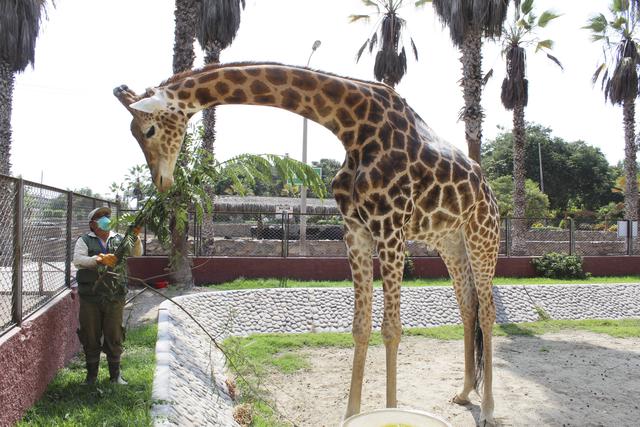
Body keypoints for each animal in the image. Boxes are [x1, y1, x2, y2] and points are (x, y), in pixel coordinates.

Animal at [117, 61, 502, 426]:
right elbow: (360, 327)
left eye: (149, 130)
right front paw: (350, 415)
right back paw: (464, 393)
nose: (162, 181)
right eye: (133, 134)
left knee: (487, 311)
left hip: (483, 236)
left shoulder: (390, 227)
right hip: (450, 242)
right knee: (468, 306)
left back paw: (487, 410)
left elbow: (392, 329)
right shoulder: (356, 232)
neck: (353, 126)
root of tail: (489, 192)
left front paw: (391, 412)